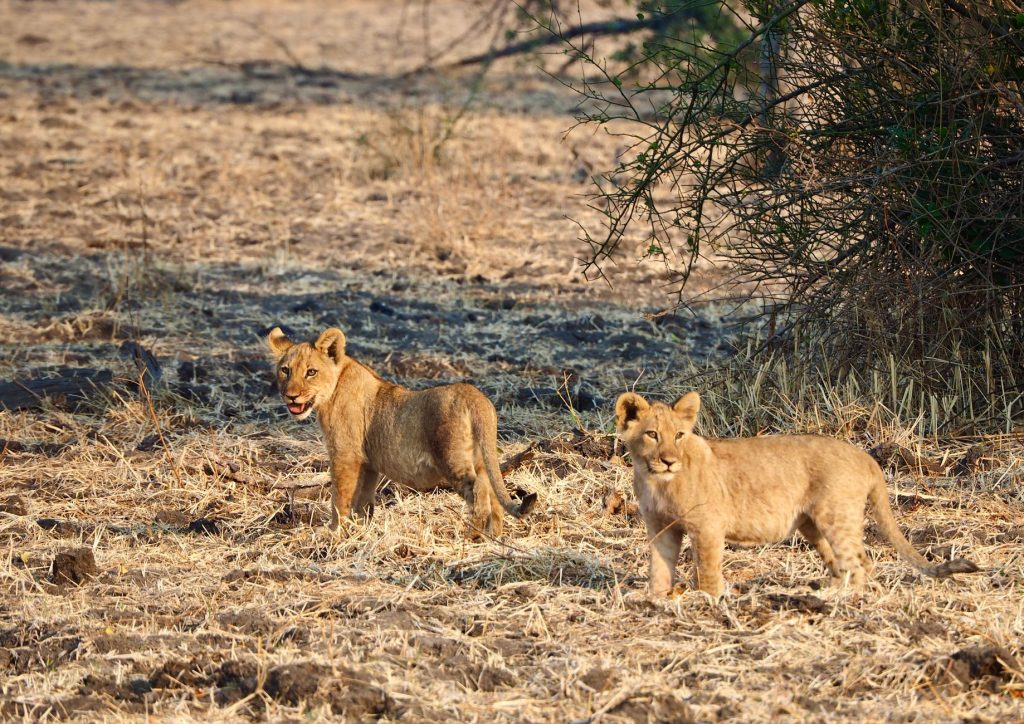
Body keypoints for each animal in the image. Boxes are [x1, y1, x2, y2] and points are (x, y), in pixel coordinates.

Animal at [266, 326, 536, 539]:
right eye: (285, 370)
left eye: (311, 372)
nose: (291, 396)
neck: (332, 389)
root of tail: (475, 396)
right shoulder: (368, 462)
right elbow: (362, 499)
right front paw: (359, 531)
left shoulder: (345, 455)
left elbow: (339, 497)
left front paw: (334, 532)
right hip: (480, 457)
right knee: (492, 491)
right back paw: (494, 537)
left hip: (452, 458)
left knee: (479, 488)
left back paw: (473, 536)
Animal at [615, 390, 979, 598]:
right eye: (652, 434)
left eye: (679, 435)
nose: (668, 460)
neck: (658, 482)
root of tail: (866, 457)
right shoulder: (660, 527)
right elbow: (660, 566)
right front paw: (654, 599)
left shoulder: (707, 526)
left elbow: (707, 569)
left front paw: (708, 601)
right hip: (811, 524)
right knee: (847, 563)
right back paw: (826, 591)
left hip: (835, 515)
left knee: (860, 562)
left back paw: (840, 600)